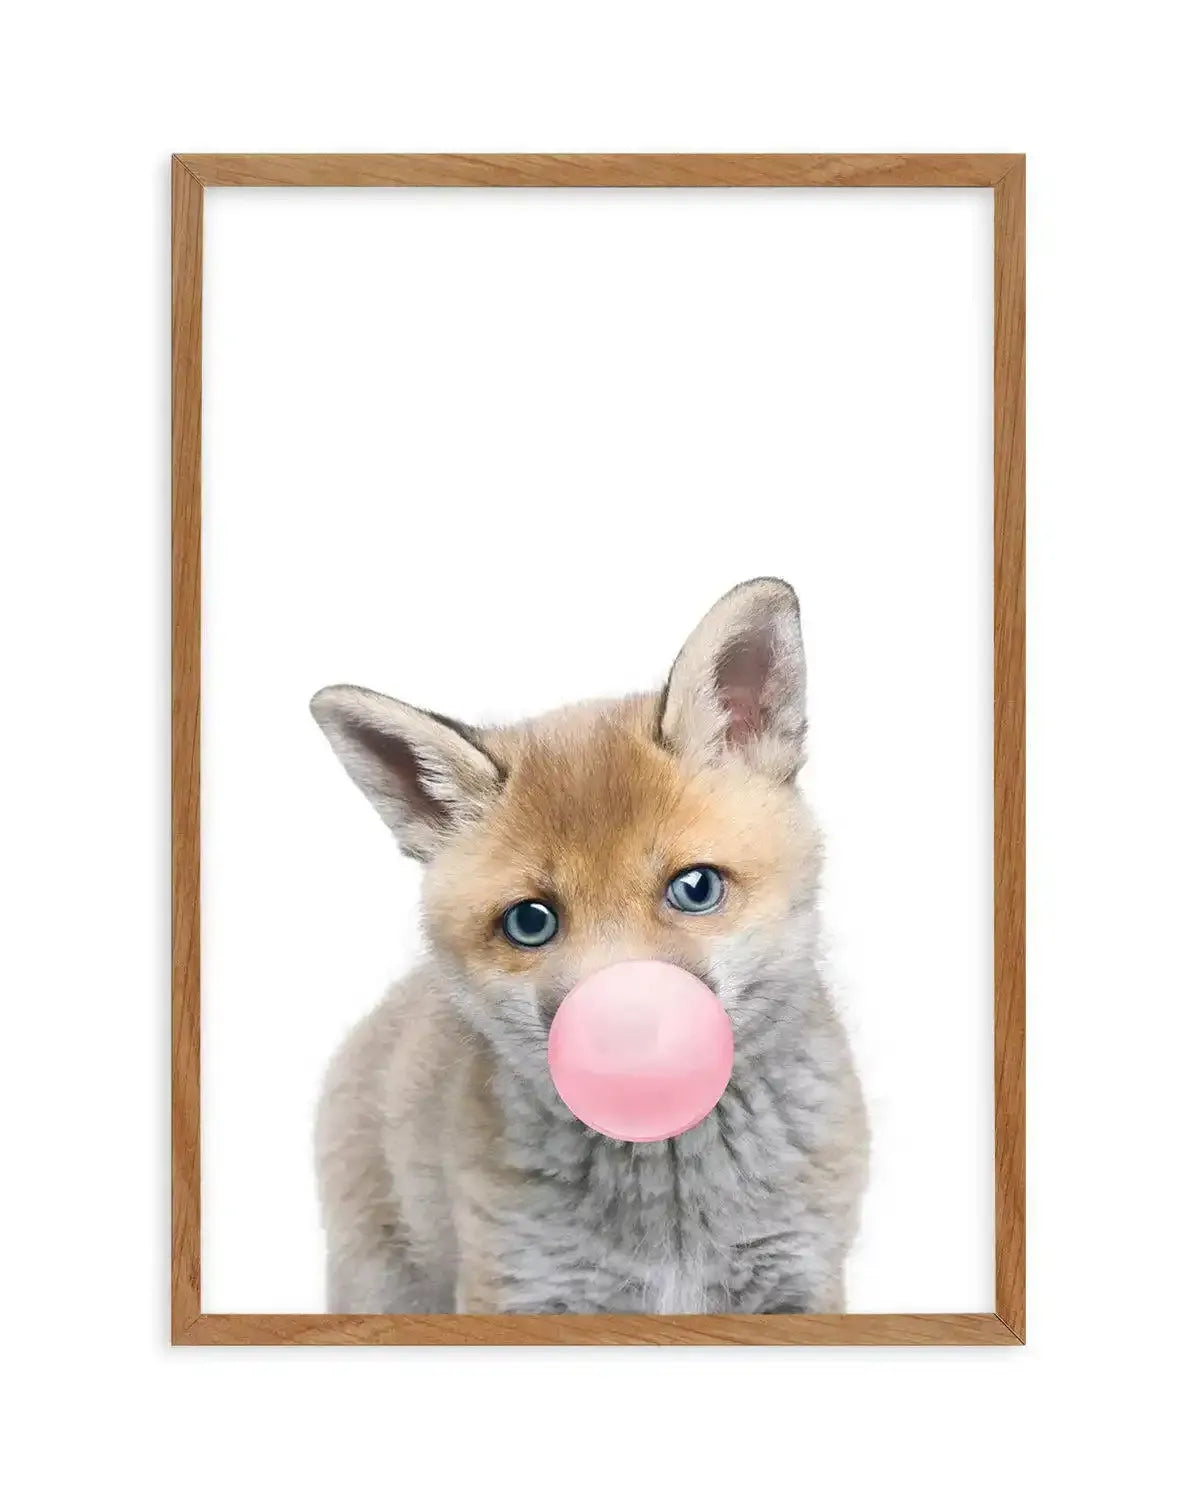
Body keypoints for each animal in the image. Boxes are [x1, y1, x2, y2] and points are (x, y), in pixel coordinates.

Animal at [310, 577, 868, 1315]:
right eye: (531, 922)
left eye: (695, 888)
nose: (624, 1036)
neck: (674, 1230)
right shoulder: (519, 1286)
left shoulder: (799, 1277)